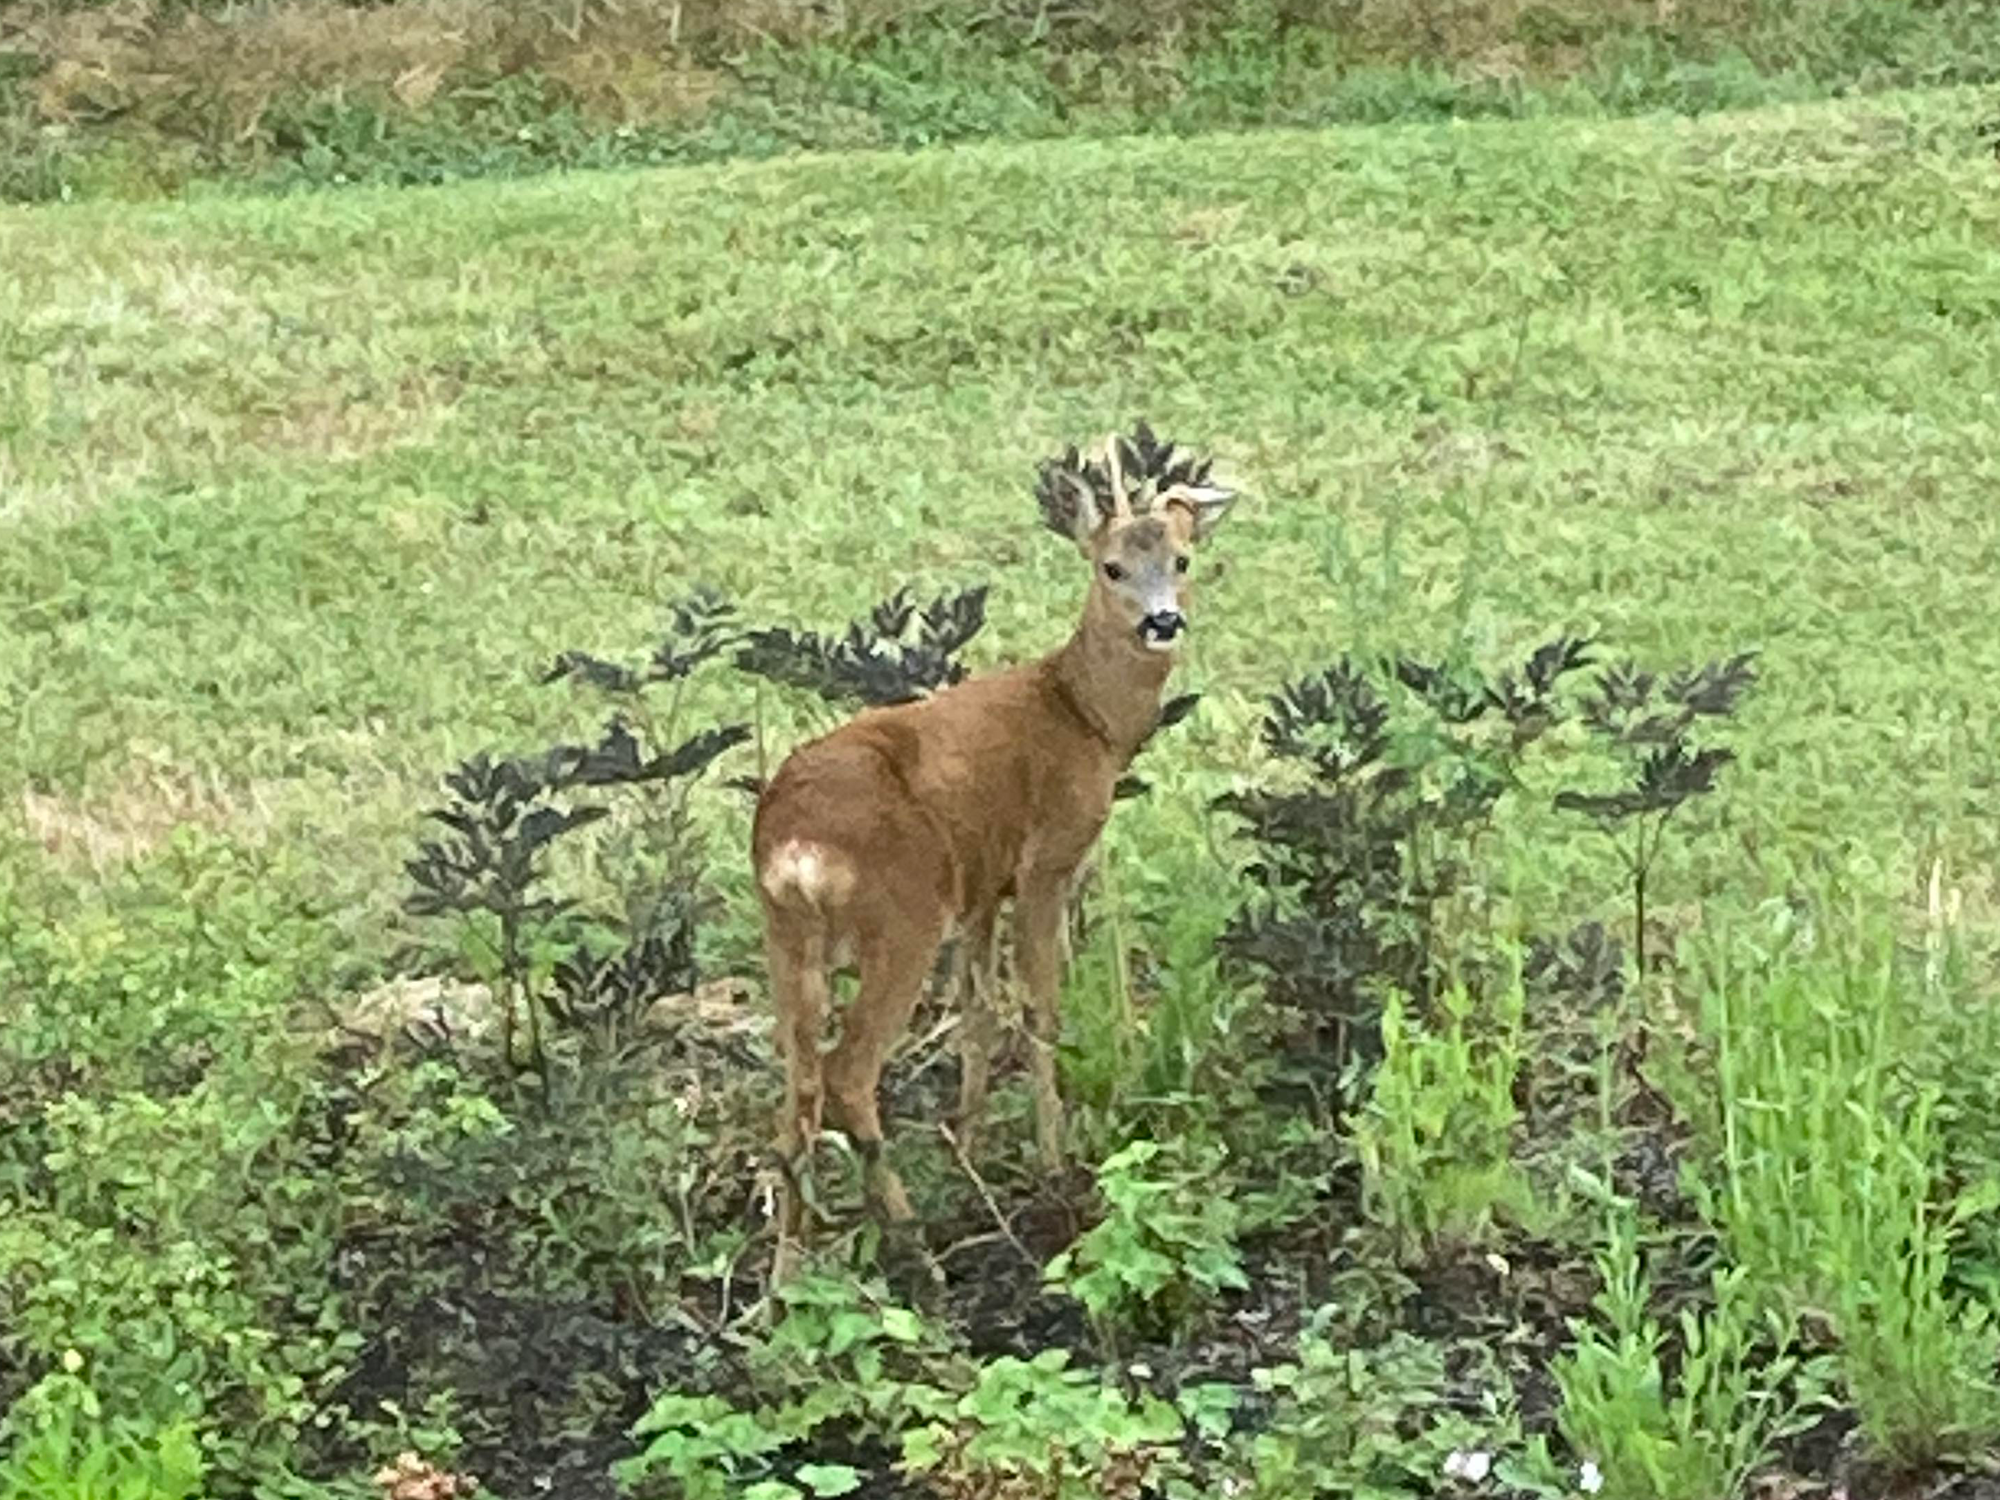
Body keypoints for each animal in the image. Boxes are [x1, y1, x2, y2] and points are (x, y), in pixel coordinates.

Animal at [752, 426, 1232, 1280]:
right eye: (1111, 567)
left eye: (1180, 560)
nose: (1162, 623)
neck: (1081, 714)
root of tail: (795, 848)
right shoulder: (1045, 865)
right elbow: (1039, 1008)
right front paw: (1053, 1160)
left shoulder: (979, 886)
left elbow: (977, 1014)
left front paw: (970, 1151)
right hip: (901, 918)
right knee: (848, 1071)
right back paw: (917, 1249)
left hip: (788, 938)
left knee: (797, 1087)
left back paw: (787, 1277)